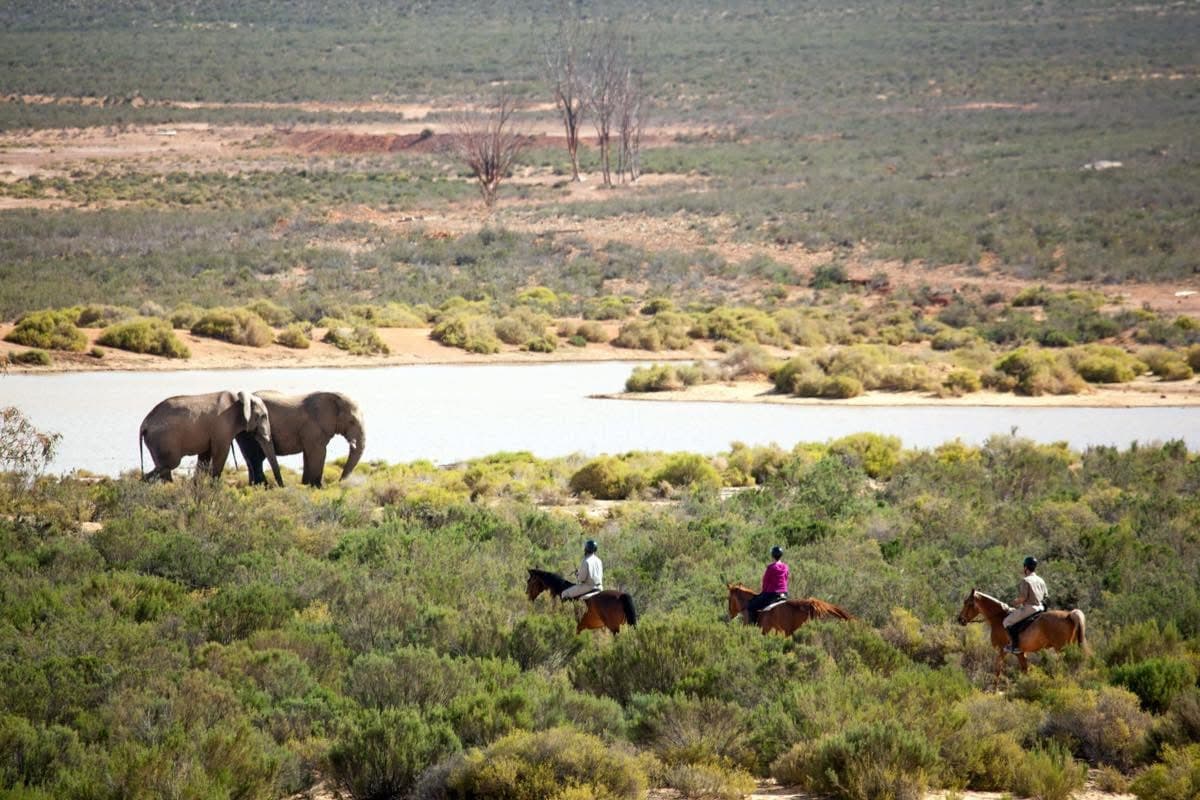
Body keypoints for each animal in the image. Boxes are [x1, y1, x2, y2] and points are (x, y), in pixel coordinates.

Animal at [956, 589, 1087, 679]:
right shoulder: (1021, 653)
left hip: (1061, 649)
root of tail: (1069, 615)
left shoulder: (1003, 650)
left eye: (968, 603)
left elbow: (998, 671)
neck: (999, 618)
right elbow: (1024, 670)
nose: (960, 619)